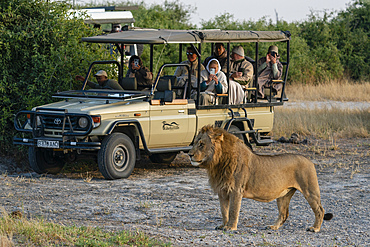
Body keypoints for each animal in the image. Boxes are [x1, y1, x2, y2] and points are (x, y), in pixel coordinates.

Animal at [188, 125, 332, 232]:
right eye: (194, 143)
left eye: (201, 144)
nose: (189, 154)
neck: (218, 163)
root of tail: (309, 160)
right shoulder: (222, 191)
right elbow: (224, 211)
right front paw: (223, 225)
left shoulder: (236, 190)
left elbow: (233, 210)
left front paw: (230, 227)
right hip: (283, 195)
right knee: (284, 214)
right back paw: (273, 227)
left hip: (310, 191)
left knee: (320, 210)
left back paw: (315, 228)